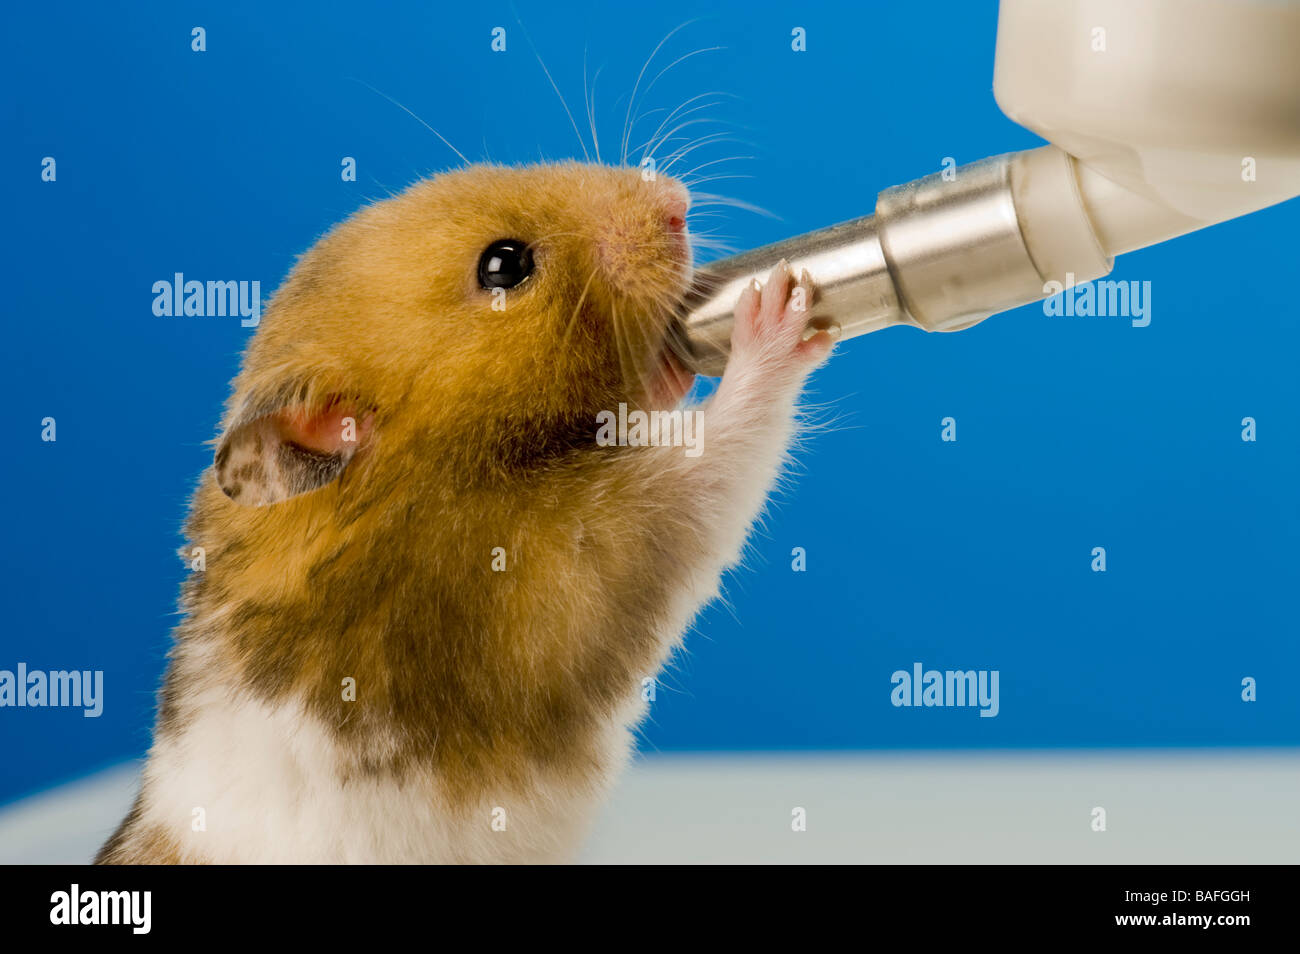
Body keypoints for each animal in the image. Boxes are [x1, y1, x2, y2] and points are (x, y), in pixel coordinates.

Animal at [95, 161, 835, 864]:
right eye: (504, 266)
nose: (676, 202)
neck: (428, 473)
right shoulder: (577, 556)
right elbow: (720, 455)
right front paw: (777, 307)